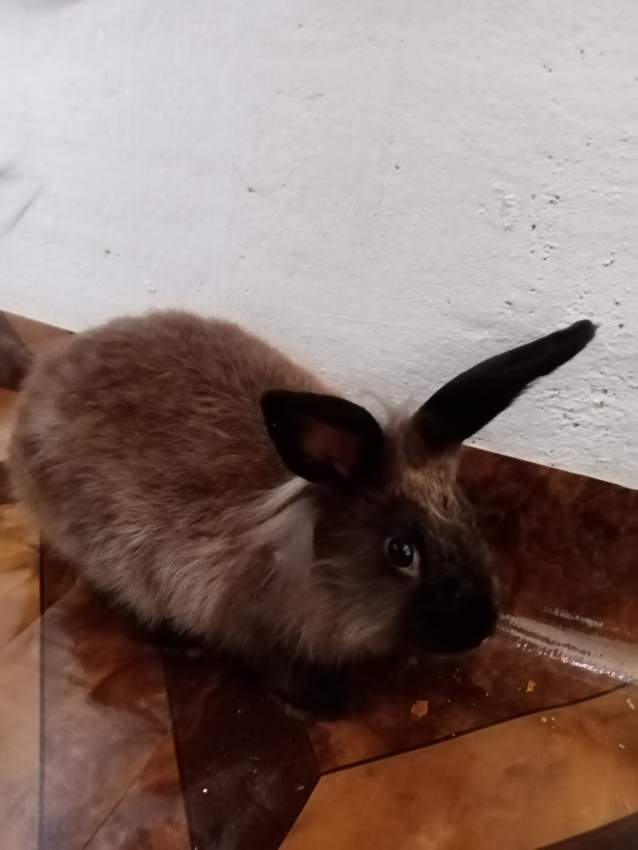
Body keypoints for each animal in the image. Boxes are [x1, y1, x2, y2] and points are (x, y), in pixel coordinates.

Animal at [5, 311, 595, 713]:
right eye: (401, 552)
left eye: (467, 516)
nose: (479, 629)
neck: (313, 565)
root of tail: (38, 382)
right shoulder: (251, 629)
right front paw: (333, 703)